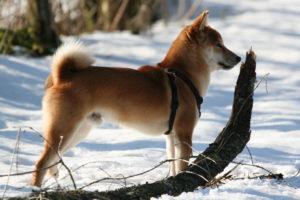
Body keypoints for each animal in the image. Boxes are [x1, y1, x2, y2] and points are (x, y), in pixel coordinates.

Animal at [31, 10, 241, 187]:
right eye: (219, 45)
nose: (239, 58)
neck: (183, 75)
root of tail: (63, 75)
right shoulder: (184, 134)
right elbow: (182, 167)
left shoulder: (172, 136)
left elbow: (173, 166)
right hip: (65, 129)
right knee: (41, 163)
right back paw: (35, 190)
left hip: (78, 131)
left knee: (52, 161)